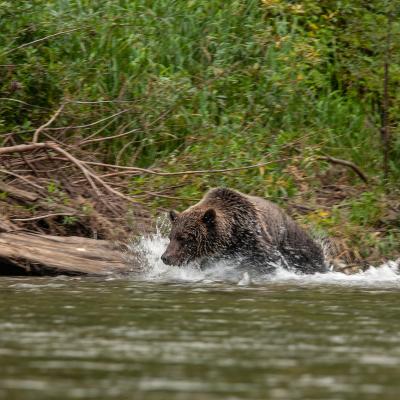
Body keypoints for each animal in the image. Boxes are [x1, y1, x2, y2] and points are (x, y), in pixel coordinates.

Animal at [160, 188, 328, 276]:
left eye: (184, 237)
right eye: (171, 237)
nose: (165, 257)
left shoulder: (253, 237)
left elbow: (267, 261)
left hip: (294, 243)